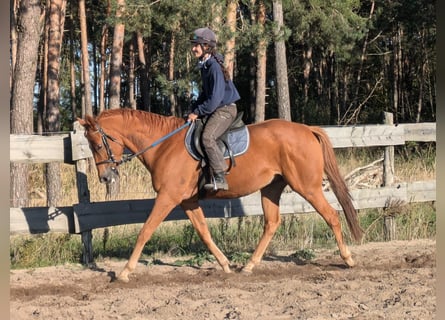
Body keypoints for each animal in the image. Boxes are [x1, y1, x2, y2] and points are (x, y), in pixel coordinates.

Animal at [78, 108, 362, 282]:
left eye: (97, 143)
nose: (105, 178)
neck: (163, 145)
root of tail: (306, 129)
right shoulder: (188, 200)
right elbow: (204, 232)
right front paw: (225, 264)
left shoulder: (169, 197)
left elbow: (145, 230)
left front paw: (125, 272)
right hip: (272, 188)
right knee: (272, 223)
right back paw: (249, 265)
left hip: (307, 186)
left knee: (331, 215)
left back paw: (348, 259)